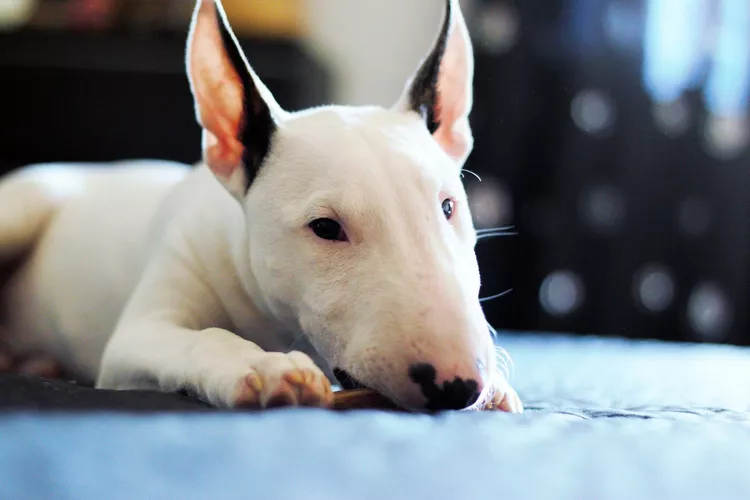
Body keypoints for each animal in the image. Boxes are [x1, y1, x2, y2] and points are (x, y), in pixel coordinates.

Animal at [0, 0, 524, 414]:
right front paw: (260, 366)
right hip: (28, 203)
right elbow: (199, 337)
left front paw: (499, 386)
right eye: (325, 227)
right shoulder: (137, 335)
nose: (460, 384)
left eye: (449, 207)